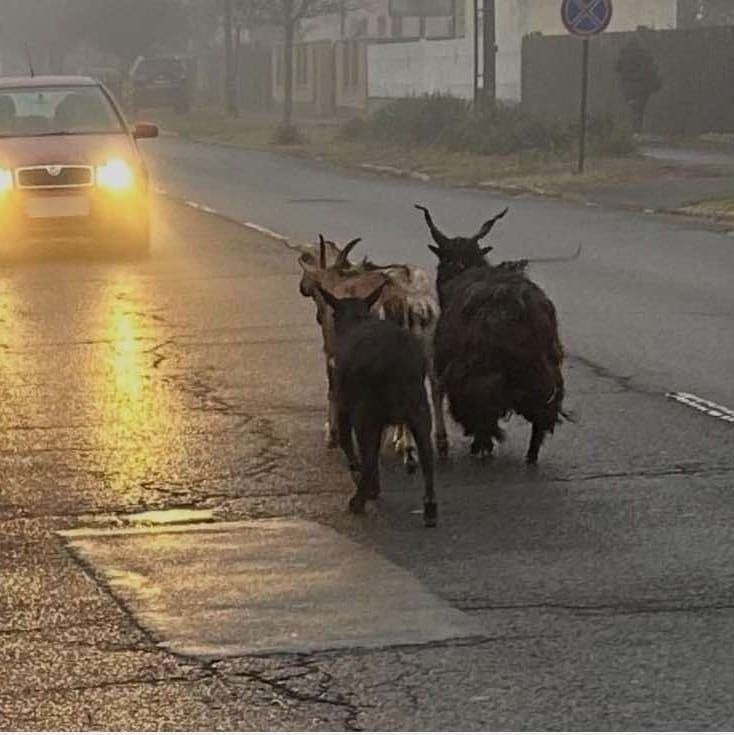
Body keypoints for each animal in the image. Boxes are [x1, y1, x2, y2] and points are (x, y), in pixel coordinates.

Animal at [416, 204, 568, 462]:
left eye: (441, 261)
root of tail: (520, 305)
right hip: (545, 373)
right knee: (542, 415)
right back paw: (530, 456)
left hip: (482, 374)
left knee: (484, 412)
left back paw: (481, 445)